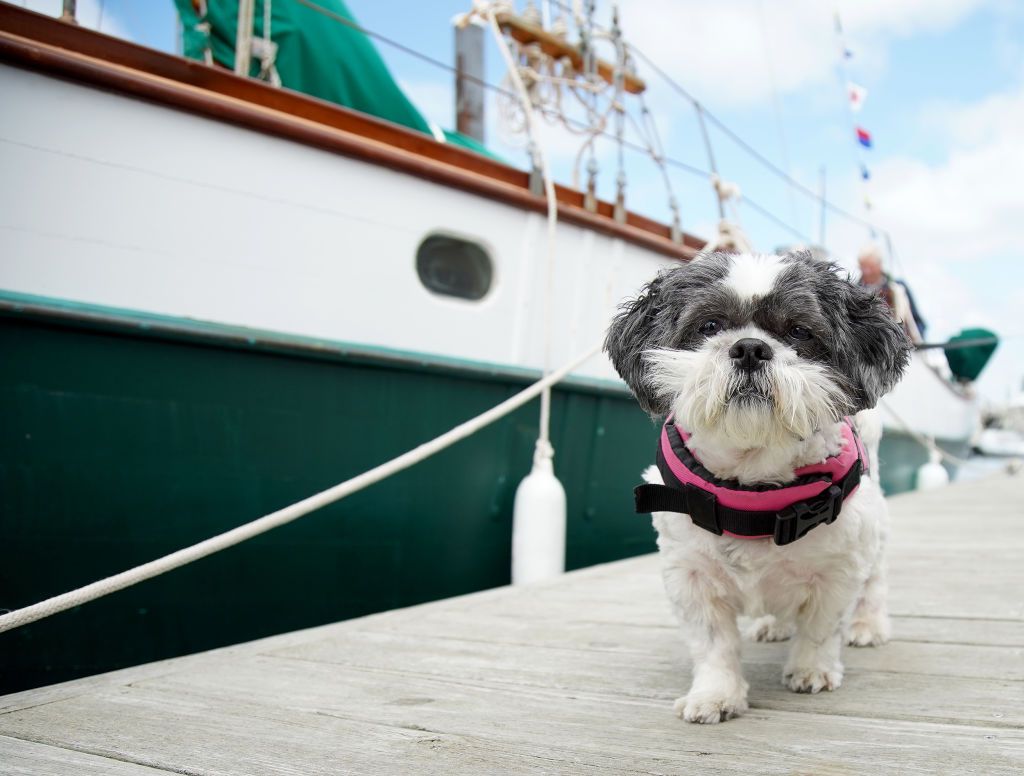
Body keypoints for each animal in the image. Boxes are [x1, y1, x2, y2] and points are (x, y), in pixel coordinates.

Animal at [602, 251, 909, 724]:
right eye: (709, 325)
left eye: (798, 331)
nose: (749, 347)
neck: (753, 487)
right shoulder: (690, 576)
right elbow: (712, 644)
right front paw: (715, 694)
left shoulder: (839, 568)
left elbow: (821, 627)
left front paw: (812, 670)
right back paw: (774, 625)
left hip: (873, 538)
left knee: (874, 583)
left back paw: (868, 625)